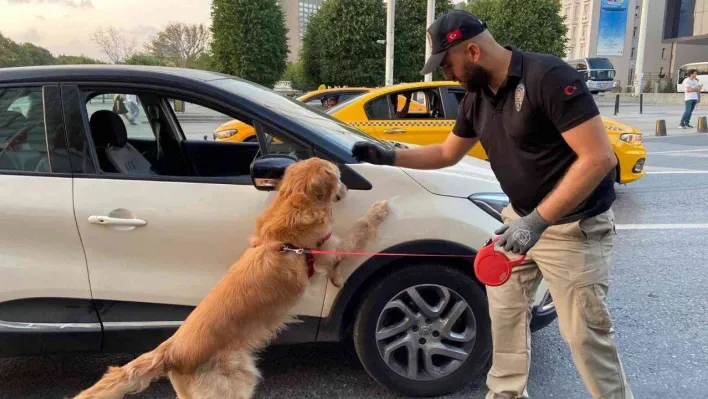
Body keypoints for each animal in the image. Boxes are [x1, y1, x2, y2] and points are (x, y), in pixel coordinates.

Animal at [73, 158, 388, 398]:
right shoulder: (329, 248)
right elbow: (360, 228)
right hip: (235, 382)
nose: (347, 188)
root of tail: (170, 351)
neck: (292, 209)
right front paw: (379, 209)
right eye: (339, 176)